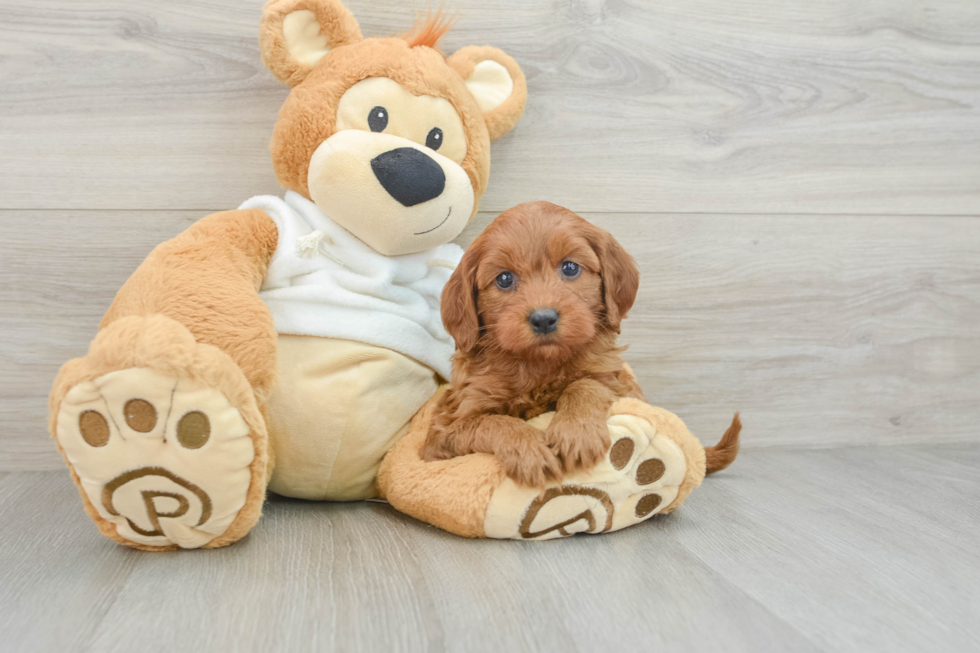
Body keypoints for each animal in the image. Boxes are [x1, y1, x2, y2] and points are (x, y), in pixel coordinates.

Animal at [420, 201, 736, 486]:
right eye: (505, 278)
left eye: (570, 267)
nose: (543, 319)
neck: (539, 366)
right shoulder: (443, 433)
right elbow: (492, 422)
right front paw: (529, 450)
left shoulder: (619, 384)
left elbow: (585, 384)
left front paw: (575, 432)